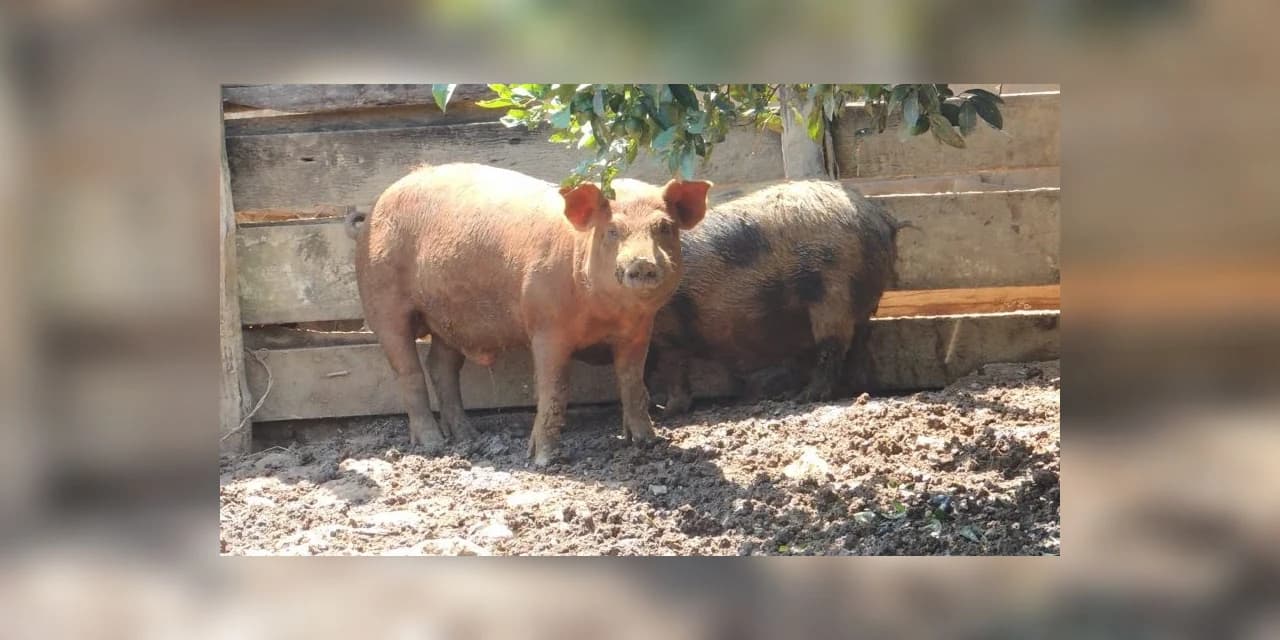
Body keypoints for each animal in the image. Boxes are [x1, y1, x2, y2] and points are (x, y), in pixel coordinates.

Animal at [347, 163, 711, 466]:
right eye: (612, 231)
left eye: (664, 228)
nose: (643, 264)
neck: (604, 315)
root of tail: (375, 206)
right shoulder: (546, 328)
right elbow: (554, 389)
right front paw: (543, 460)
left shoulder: (638, 331)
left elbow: (632, 382)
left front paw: (647, 443)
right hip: (383, 302)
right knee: (408, 371)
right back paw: (434, 444)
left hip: (448, 320)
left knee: (441, 367)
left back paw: (468, 436)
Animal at [646, 180, 902, 416]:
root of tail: (878, 214)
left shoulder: (668, 329)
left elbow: (672, 367)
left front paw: (667, 411)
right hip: (858, 299)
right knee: (856, 343)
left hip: (833, 291)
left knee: (832, 345)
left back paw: (806, 397)